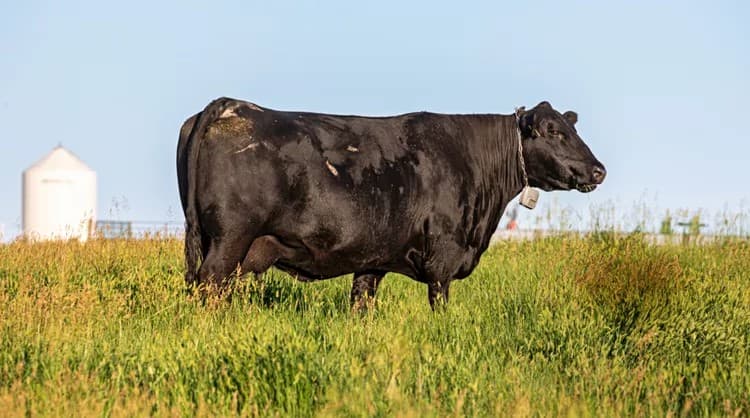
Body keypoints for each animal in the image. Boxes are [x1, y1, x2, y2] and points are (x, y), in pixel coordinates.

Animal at [177, 98, 605, 309]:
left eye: (572, 128)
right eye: (552, 131)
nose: (598, 170)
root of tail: (229, 104)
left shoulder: (374, 260)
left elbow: (361, 306)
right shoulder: (443, 260)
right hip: (230, 239)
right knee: (208, 286)